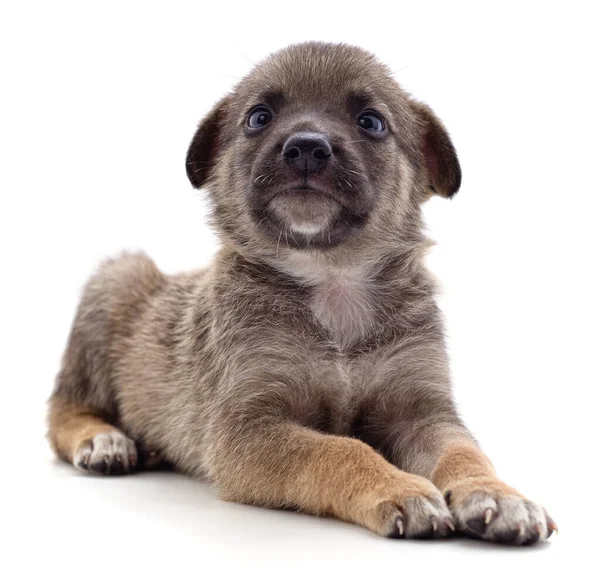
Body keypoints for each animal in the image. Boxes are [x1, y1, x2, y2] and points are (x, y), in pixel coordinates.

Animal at [49, 42, 556, 548]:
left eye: (371, 121)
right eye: (258, 117)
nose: (307, 147)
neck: (334, 281)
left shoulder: (423, 413)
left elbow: (464, 452)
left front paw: (497, 494)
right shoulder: (249, 430)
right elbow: (339, 450)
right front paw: (400, 488)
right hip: (114, 284)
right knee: (63, 410)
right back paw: (104, 440)